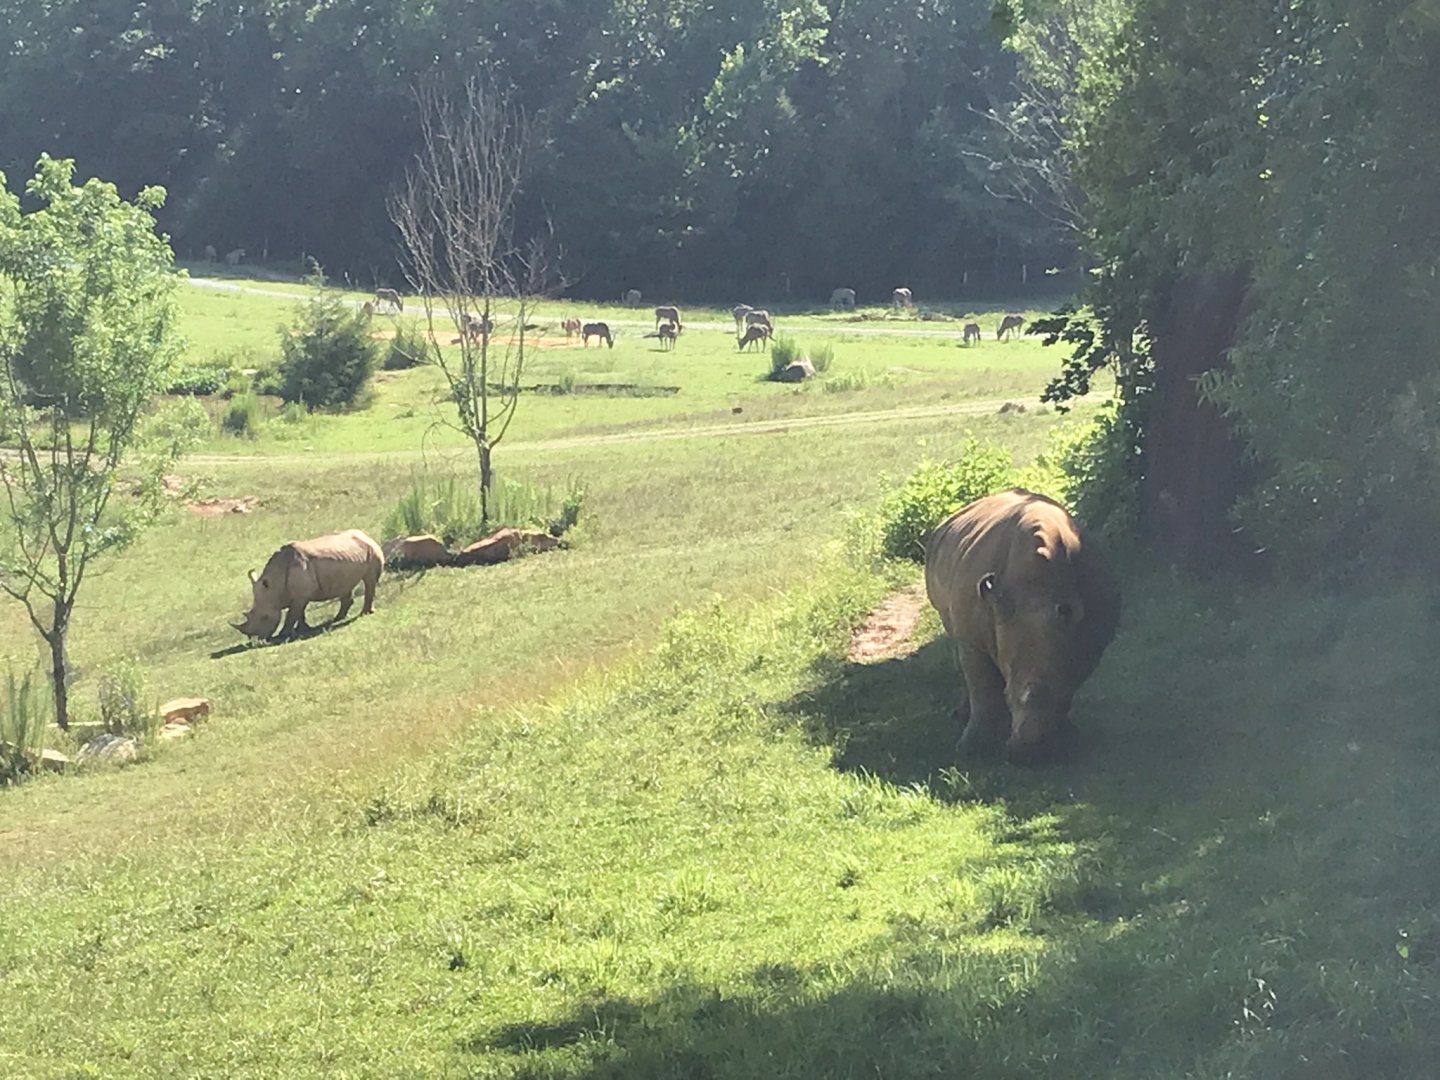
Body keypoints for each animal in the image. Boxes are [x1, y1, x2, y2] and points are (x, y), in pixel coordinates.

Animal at [232, 529, 384, 641]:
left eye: (265, 617)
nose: (256, 640)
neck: (275, 585)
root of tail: (365, 535)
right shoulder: (298, 596)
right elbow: (299, 613)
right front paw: (303, 629)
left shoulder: (300, 596)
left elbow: (292, 614)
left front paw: (283, 634)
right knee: (345, 585)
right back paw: (338, 618)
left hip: (372, 550)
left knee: (369, 581)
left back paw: (365, 613)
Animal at [924, 489, 1120, 763]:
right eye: (1008, 697)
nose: (1028, 757)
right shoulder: (973, 637)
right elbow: (981, 687)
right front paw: (971, 748)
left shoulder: (1091, 640)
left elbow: (1071, 680)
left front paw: (1068, 736)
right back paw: (961, 715)